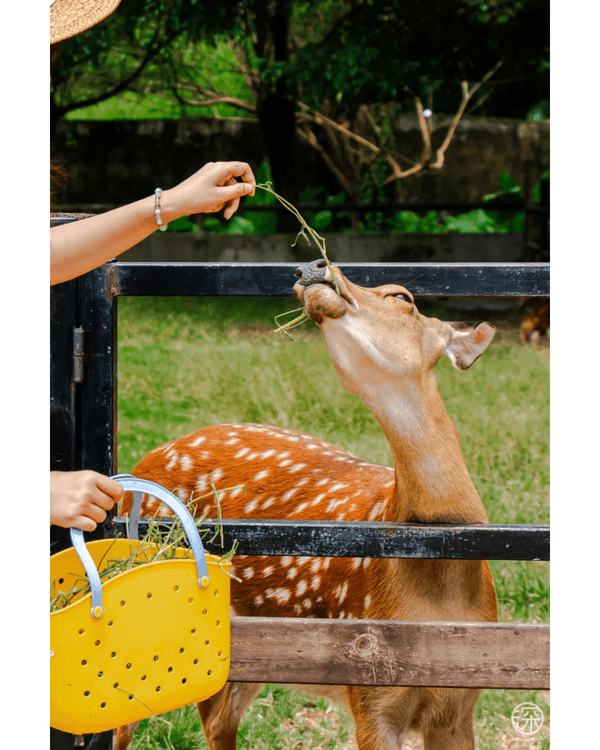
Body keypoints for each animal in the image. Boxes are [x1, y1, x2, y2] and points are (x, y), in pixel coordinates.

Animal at [115, 260, 498, 750]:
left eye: (402, 297)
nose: (314, 266)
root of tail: (140, 464)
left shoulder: (460, 704)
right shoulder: (368, 688)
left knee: (216, 722)